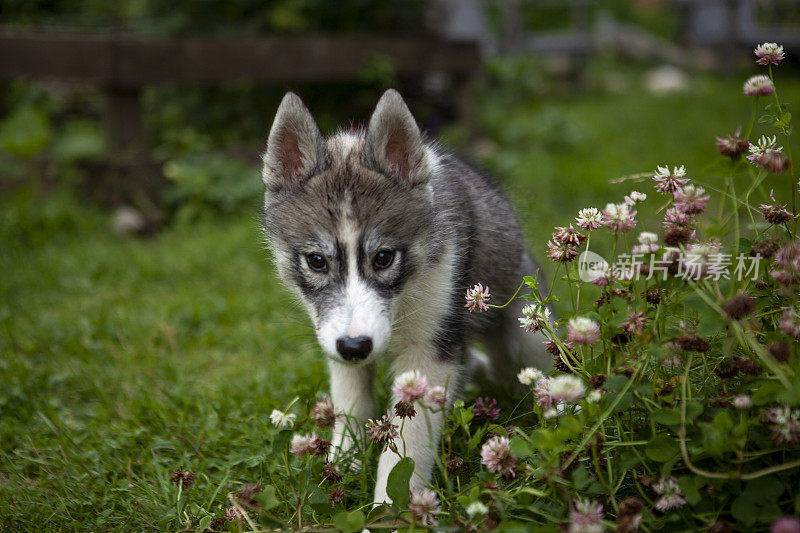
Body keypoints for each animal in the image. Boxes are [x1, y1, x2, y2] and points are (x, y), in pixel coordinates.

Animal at [260, 88, 552, 502]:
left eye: (384, 257)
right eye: (316, 261)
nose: (356, 347)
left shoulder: (431, 352)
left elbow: (407, 446)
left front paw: (388, 506)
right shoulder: (335, 340)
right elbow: (352, 403)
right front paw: (343, 464)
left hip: (527, 332)